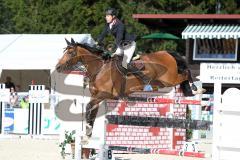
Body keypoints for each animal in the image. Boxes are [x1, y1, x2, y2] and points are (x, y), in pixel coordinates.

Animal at [55, 38, 201, 139]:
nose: (57, 67)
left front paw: (88, 133)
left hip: (169, 80)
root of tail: (167, 53)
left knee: (185, 73)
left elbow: (88, 107)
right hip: (161, 82)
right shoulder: (96, 97)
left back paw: (197, 88)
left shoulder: (103, 95)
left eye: (71, 52)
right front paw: (88, 133)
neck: (99, 68)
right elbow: (91, 110)